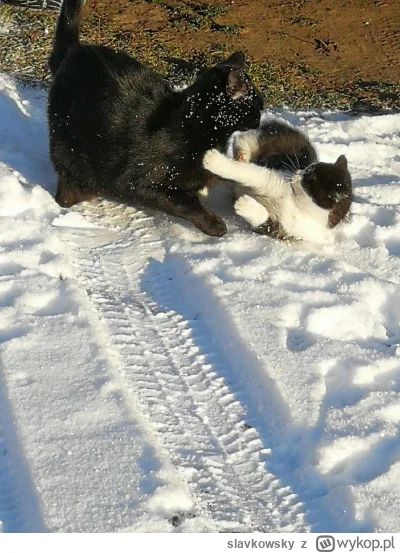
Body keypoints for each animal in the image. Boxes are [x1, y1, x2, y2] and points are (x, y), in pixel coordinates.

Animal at [47, 0, 266, 235]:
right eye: (258, 105)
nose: (261, 119)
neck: (193, 127)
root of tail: (74, 51)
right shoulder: (139, 183)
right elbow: (186, 204)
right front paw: (214, 224)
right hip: (67, 147)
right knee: (66, 189)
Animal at [203, 118, 354, 242]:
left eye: (308, 180)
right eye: (308, 168)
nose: (297, 172)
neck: (296, 203)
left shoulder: (284, 231)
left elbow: (265, 222)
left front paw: (245, 204)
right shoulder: (272, 177)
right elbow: (249, 173)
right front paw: (214, 161)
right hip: (272, 139)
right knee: (244, 138)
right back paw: (242, 154)